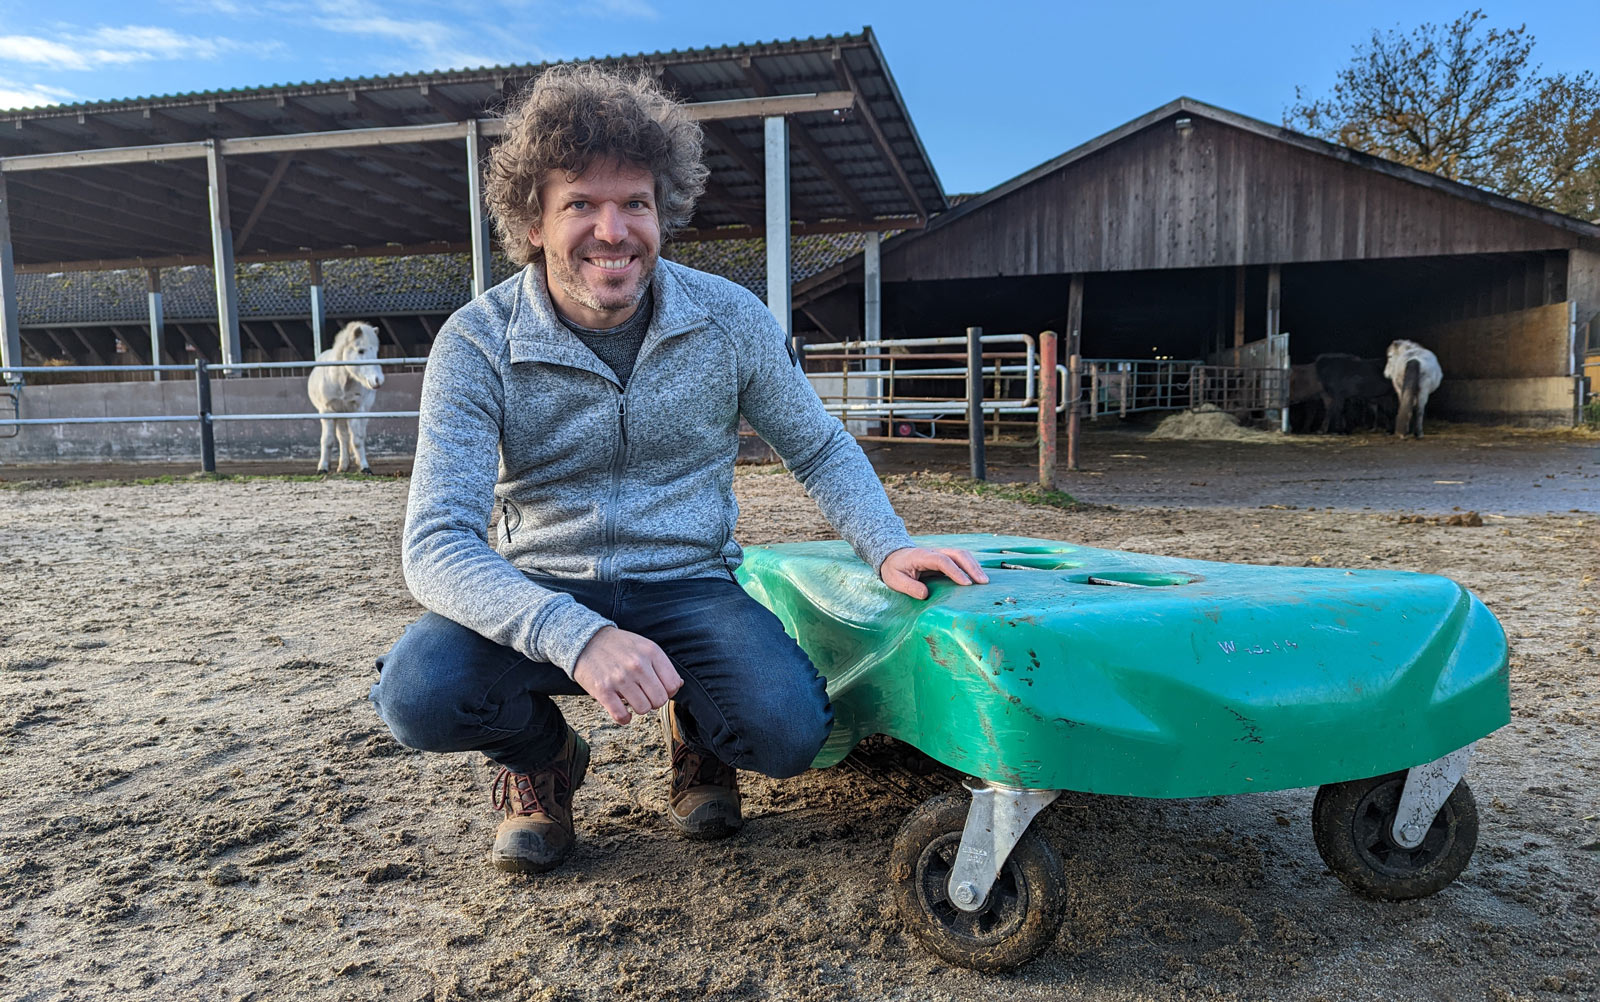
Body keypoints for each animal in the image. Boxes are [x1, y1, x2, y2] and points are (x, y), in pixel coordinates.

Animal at [310, 321, 388, 473]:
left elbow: (357, 439)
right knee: (343, 438)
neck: (340, 382)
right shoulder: (327, 412)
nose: (378, 380)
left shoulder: (356, 410)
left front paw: (364, 467)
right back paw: (343, 465)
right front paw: (323, 467)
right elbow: (327, 440)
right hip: (340, 414)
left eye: (376, 352)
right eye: (361, 351)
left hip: (362, 412)